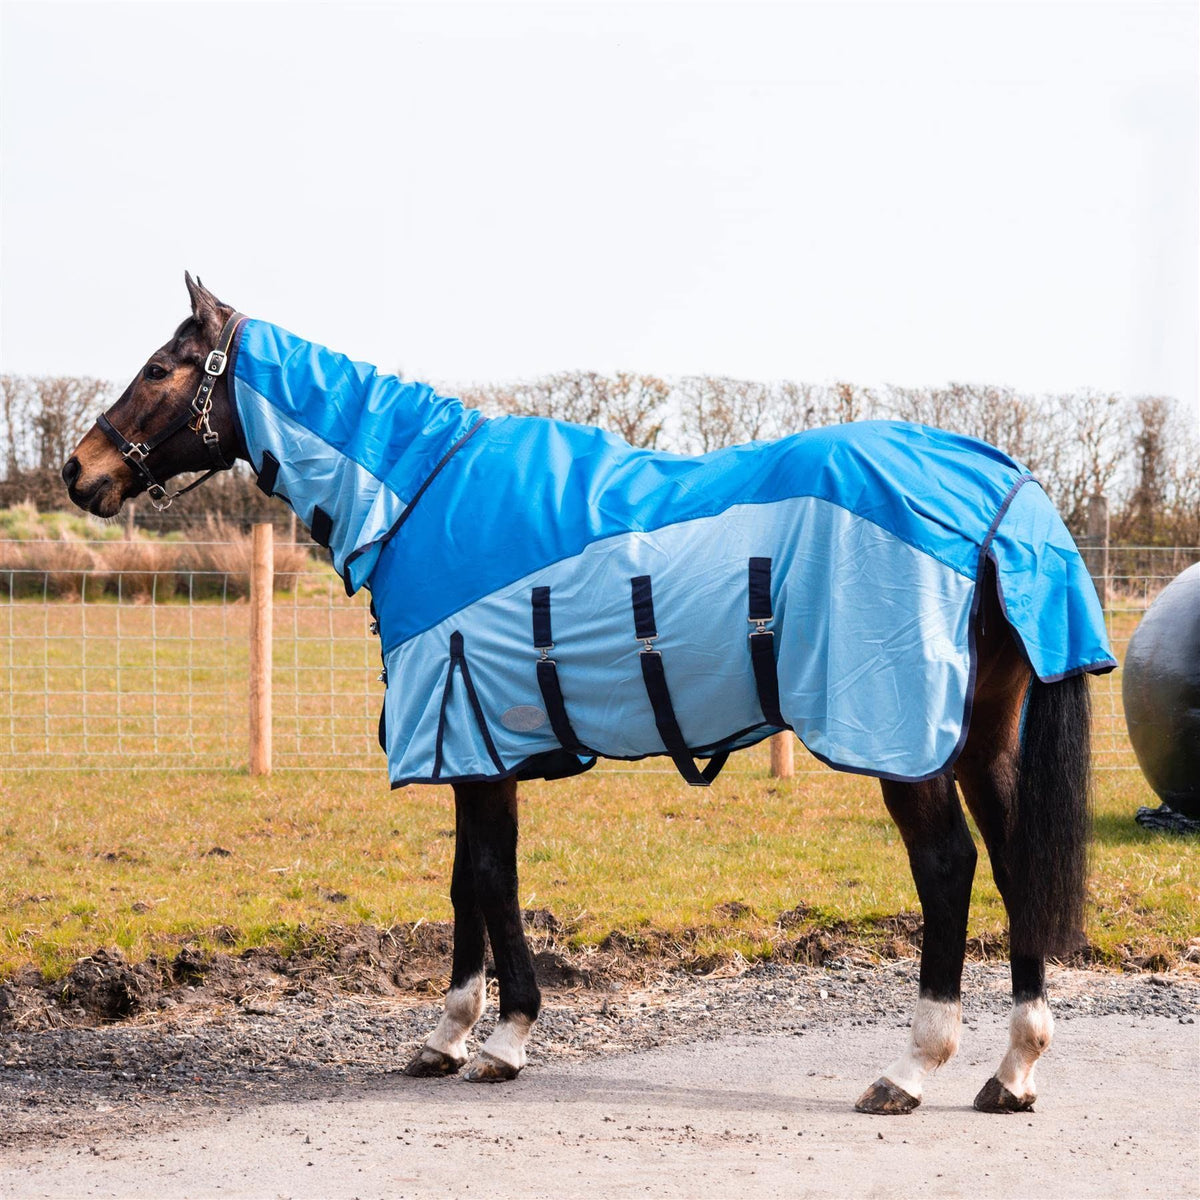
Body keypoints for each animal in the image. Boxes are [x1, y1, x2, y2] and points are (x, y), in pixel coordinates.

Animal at [63, 274, 1116, 1114]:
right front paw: (447, 1036)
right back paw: (1013, 1069)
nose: (82, 469)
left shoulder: (472, 739)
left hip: (903, 737)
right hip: (981, 736)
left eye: (162, 368)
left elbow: (491, 881)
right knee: (1015, 862)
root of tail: (1000, 487)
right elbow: (464, 884)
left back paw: (912, 1068)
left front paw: (504, 1038)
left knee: (948, 868)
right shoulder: (472, 745)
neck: (419, 494)